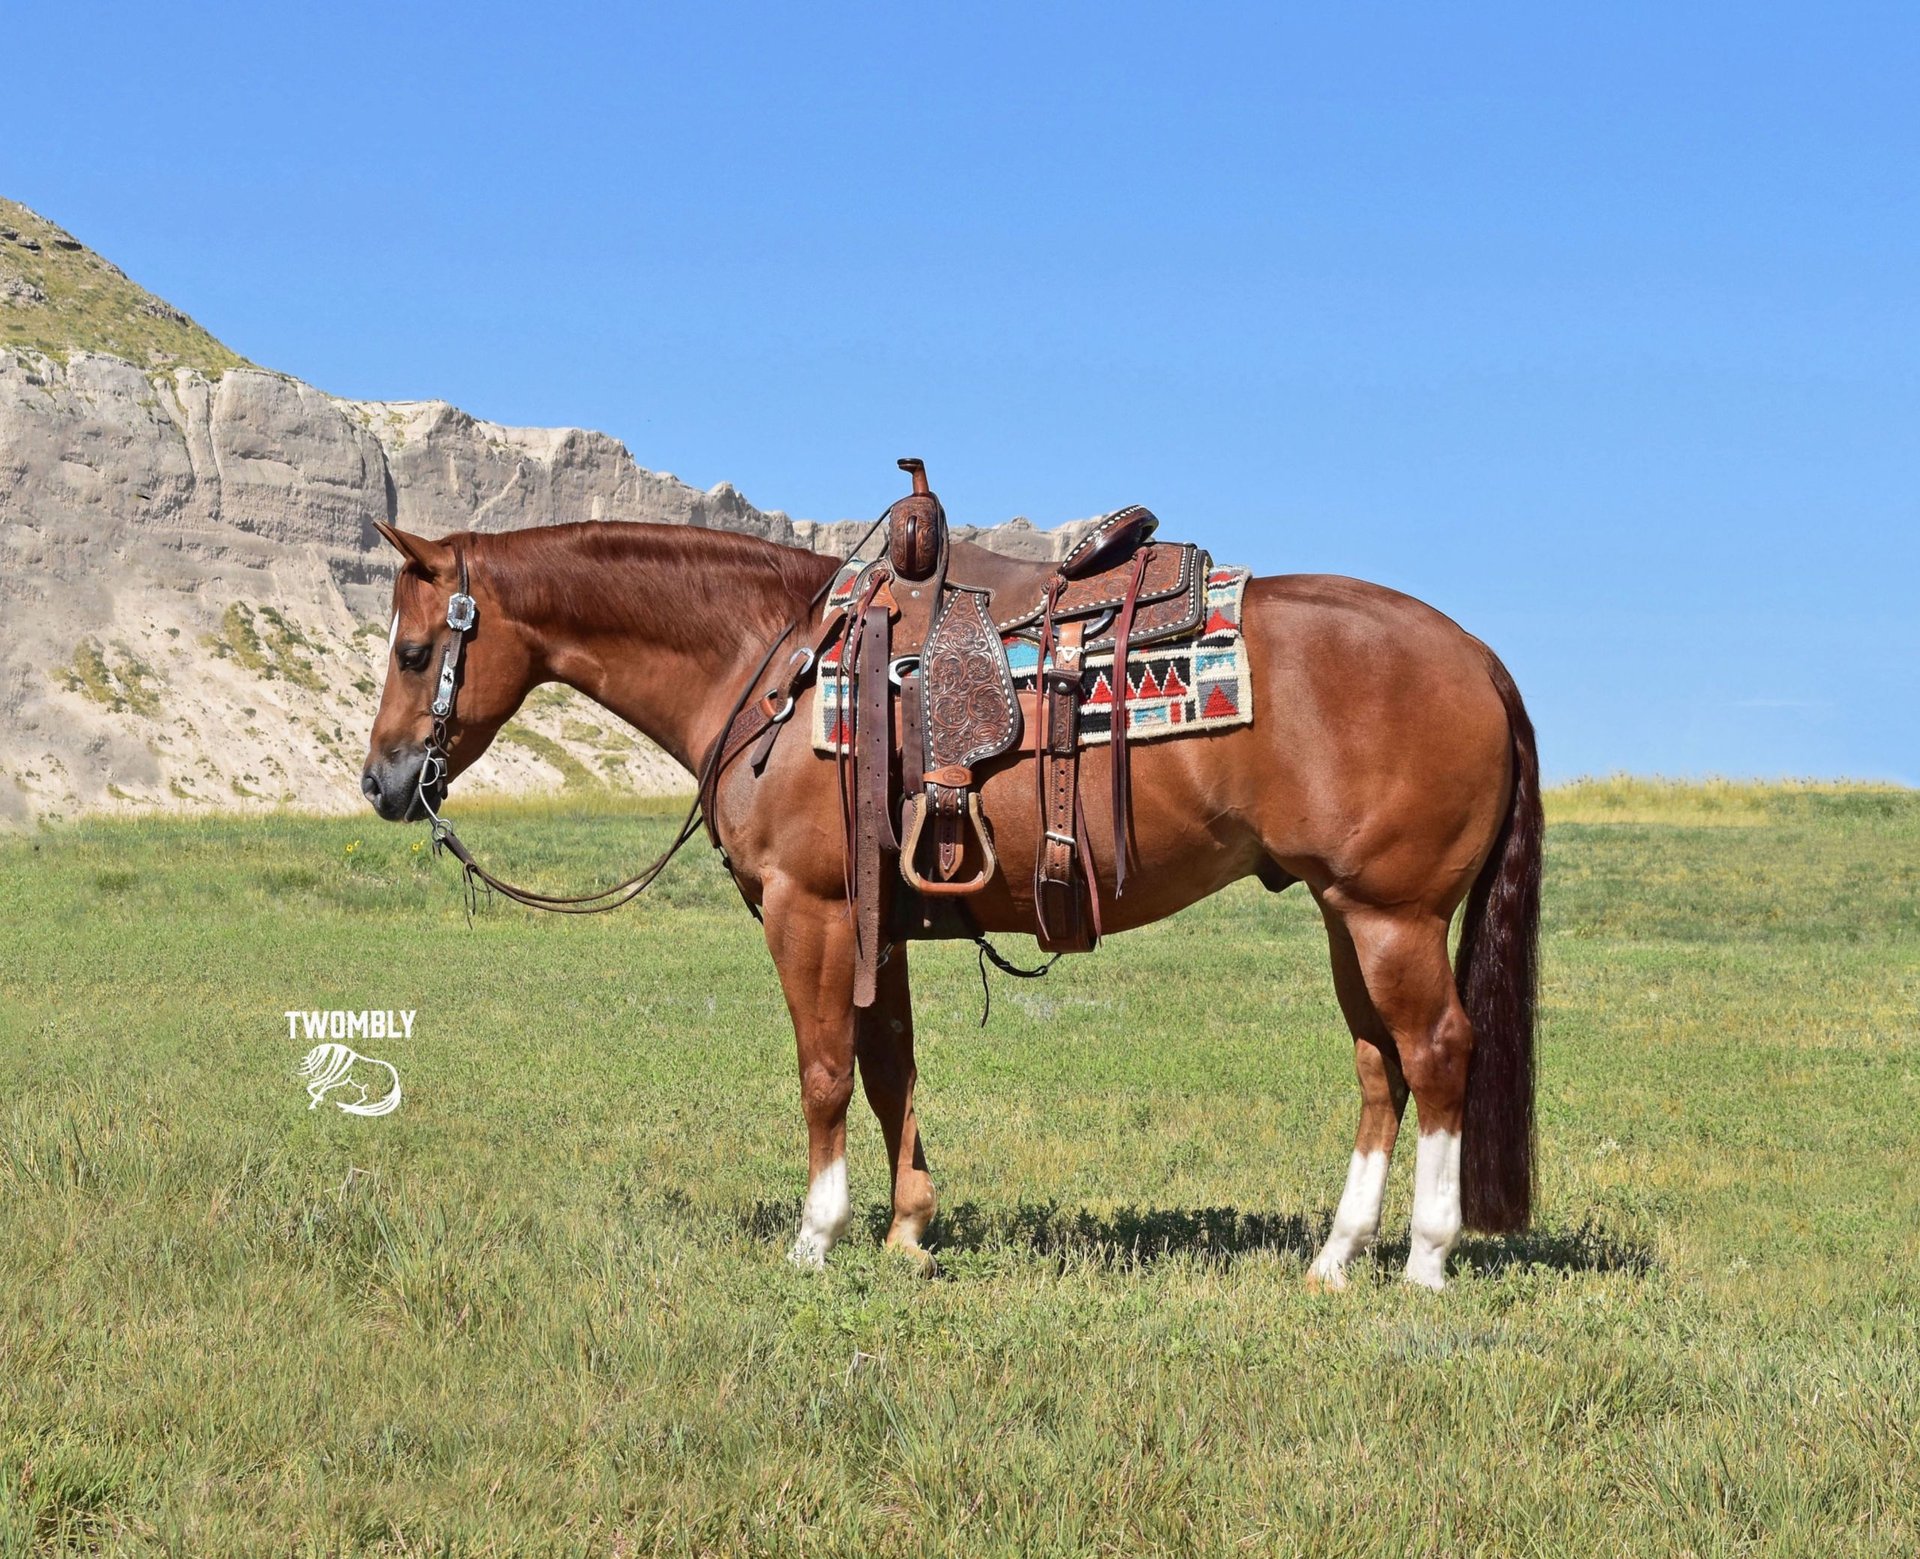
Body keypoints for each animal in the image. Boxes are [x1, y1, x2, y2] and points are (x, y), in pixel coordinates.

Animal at [359, 516, 1540, 1289]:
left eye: (415, 650)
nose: (381, 783)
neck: (772, 663)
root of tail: (1482, 658)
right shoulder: (877, 916)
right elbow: (891, 1068)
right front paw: (907, 1229)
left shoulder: (811, 908)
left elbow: (826, 1072)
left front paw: (818, 1235)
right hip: (1347, 914)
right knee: (1380, 1068)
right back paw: (1336, 1255)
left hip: (1390, 914)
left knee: (1437, 1050)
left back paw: (1427, 1259)